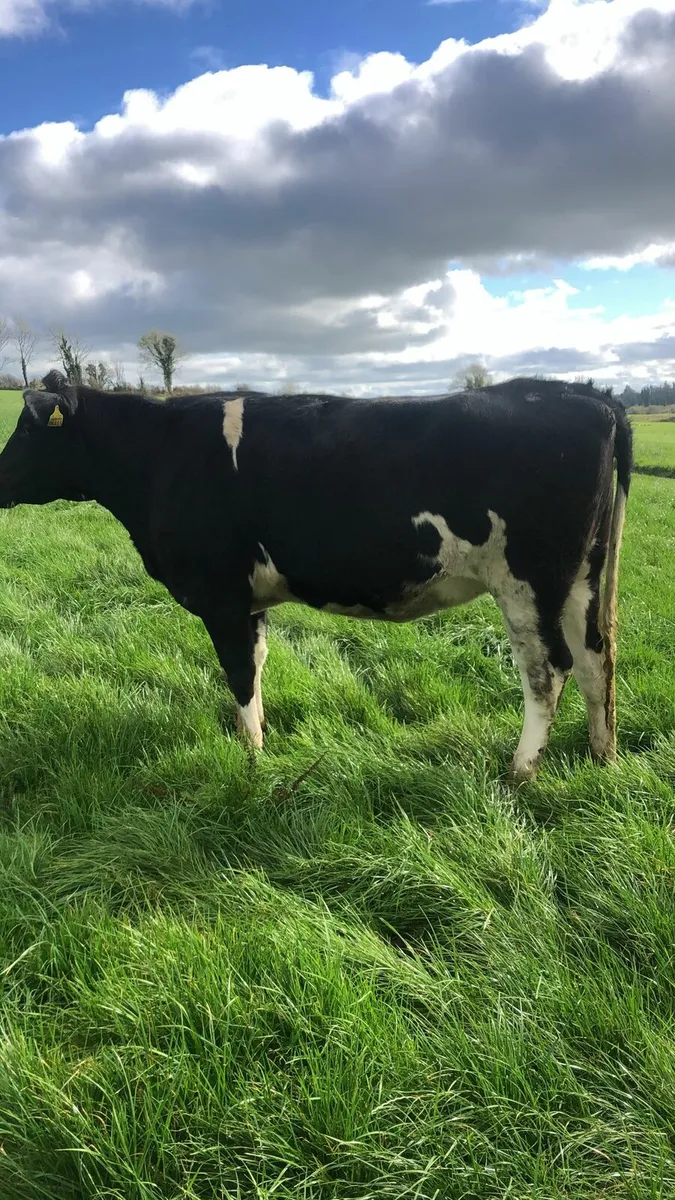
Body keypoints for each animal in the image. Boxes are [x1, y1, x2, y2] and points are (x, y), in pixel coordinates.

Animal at [0, 370, 632, 781]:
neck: (159, 456)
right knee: (596, 656)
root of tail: (584, 395)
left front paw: (252, 757)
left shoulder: (220, 594)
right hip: (583, 576)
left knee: (549, 670)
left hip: (527, 580)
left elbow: (238, 673)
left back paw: (521, 771)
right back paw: (602, 757)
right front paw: (257, 736)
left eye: (28, 428)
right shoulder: (249, 599)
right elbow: (256, 664)